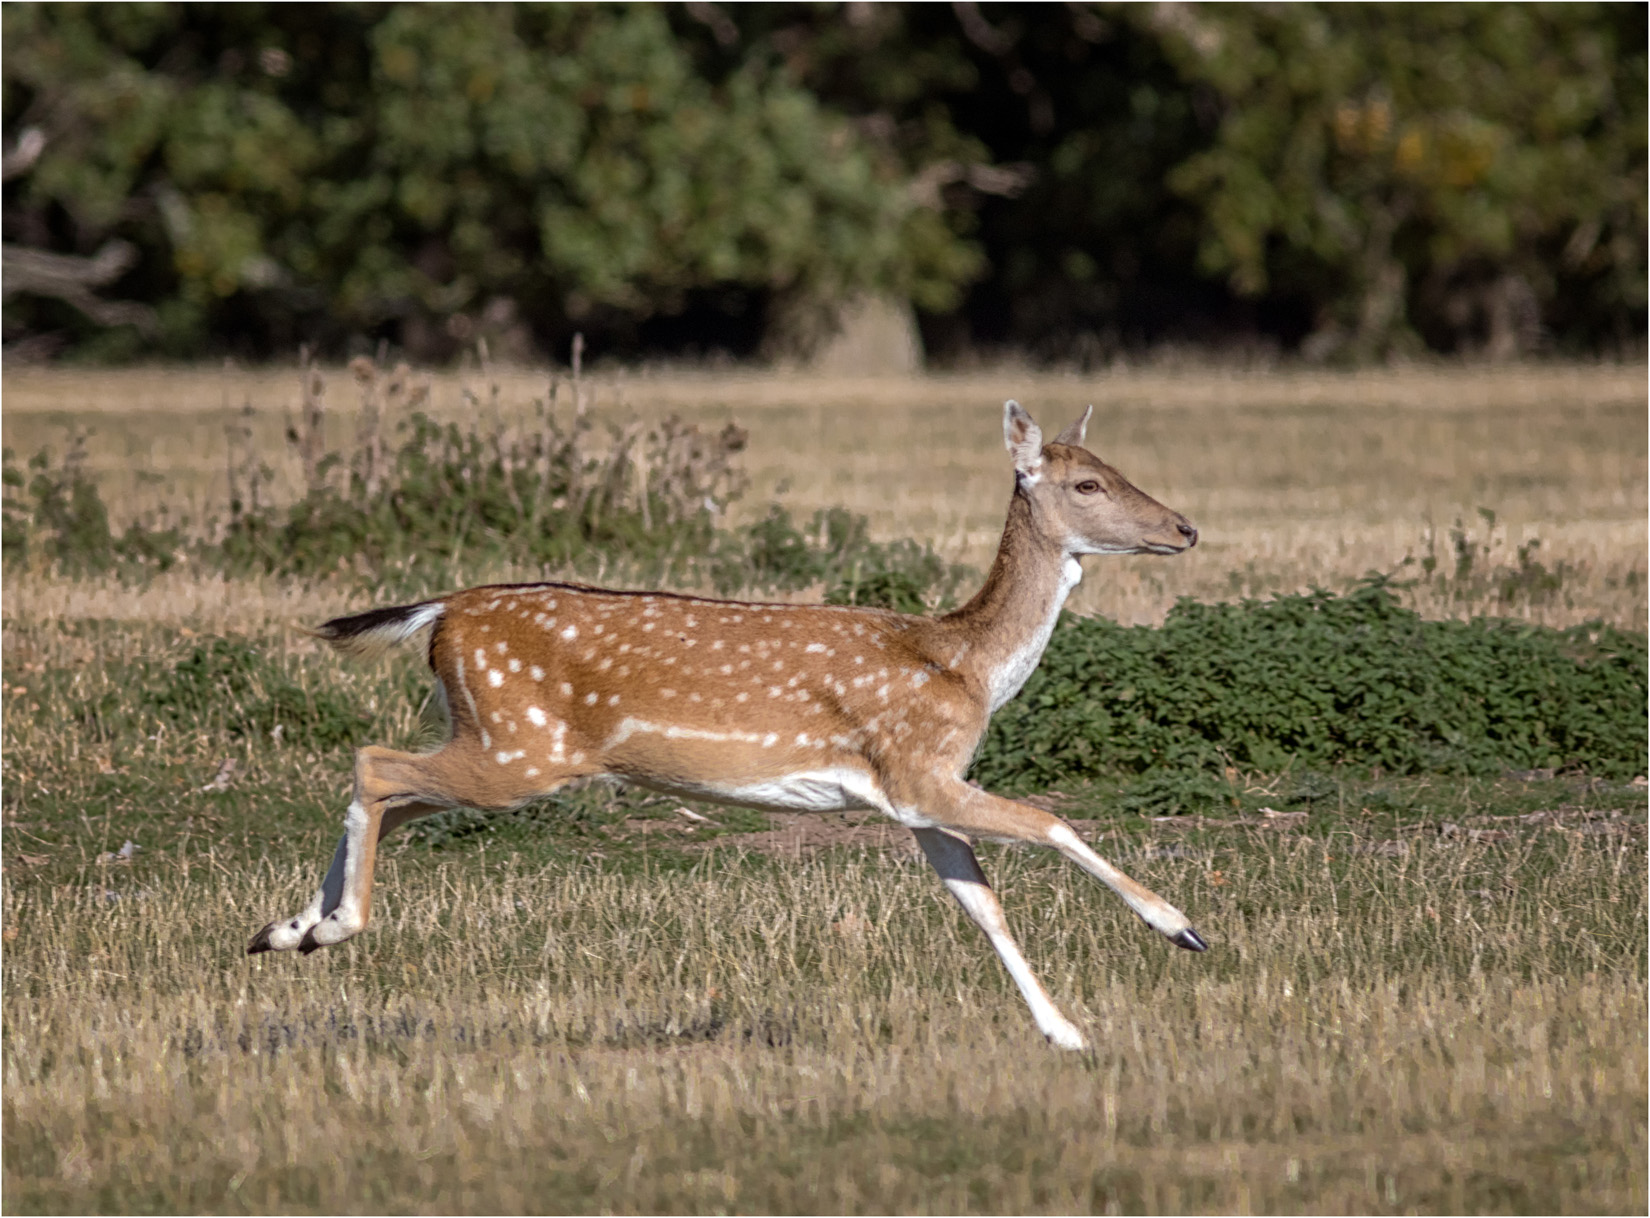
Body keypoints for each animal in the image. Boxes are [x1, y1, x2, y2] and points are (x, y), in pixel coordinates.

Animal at [254, 402, 1214, 1049]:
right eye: (1087, 482)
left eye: (1111, 465)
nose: (1185, 527)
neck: (965, 663)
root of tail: (441, 611)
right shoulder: (919, 767)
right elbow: (1053, 823)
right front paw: (1183, 929)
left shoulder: (913, 798)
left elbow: (983, 906)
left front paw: (1067, 1032)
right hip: (520, 745)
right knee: (374, 764)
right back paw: (331, 929)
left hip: (502, 745)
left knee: (392, 797)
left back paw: (285, 931)